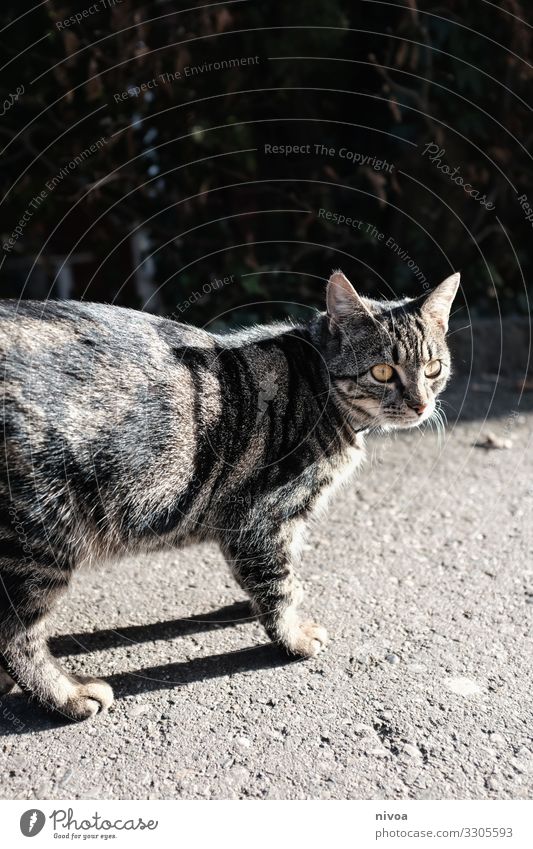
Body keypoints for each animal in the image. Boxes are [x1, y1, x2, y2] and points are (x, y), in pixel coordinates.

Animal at [0, 270, 458, 716]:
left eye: (433, 368)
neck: (319, 387)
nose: (420, 405)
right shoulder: (261, 519)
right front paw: (293, 636)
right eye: (382, 372)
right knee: (15, 636)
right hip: (41, 542)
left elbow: (277, 576)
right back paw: (67, 696)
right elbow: (277, 585)